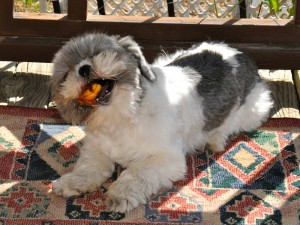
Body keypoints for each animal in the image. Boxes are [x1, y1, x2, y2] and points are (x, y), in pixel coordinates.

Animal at [50, 32, 274, 213]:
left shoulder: (165, 159)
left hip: (255, 108)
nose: (84, 69)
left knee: (232, 123)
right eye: (66, 73)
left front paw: (120, 194)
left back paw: (215, 138)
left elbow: (136, 172)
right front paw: (74, 181)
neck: (120, 117)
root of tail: (237, 52)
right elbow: (88, 167)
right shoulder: (96, 149)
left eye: (98, 52)